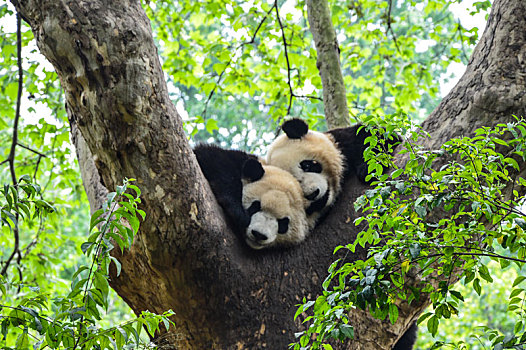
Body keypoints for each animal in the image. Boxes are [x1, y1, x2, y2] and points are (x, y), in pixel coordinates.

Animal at [268, 119, 400, 226]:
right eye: (295, 184)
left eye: (307, 165)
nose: (313, 194)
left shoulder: (344, 140)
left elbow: (378, 138)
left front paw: (368, 169)